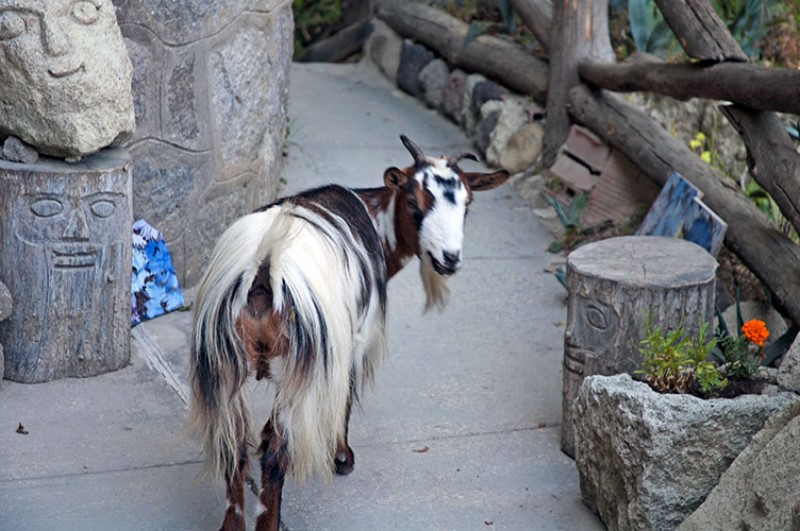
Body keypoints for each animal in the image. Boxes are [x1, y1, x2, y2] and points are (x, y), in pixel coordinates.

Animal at [189, 136, 506, 531]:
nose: (449, 258)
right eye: (413, 201)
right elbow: (348, 392)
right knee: (278, 455)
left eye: (467, 204)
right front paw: (342, 457)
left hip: (224, 364)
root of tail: (264, 267)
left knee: (233, 447)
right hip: (295, 362)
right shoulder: (353, 336)